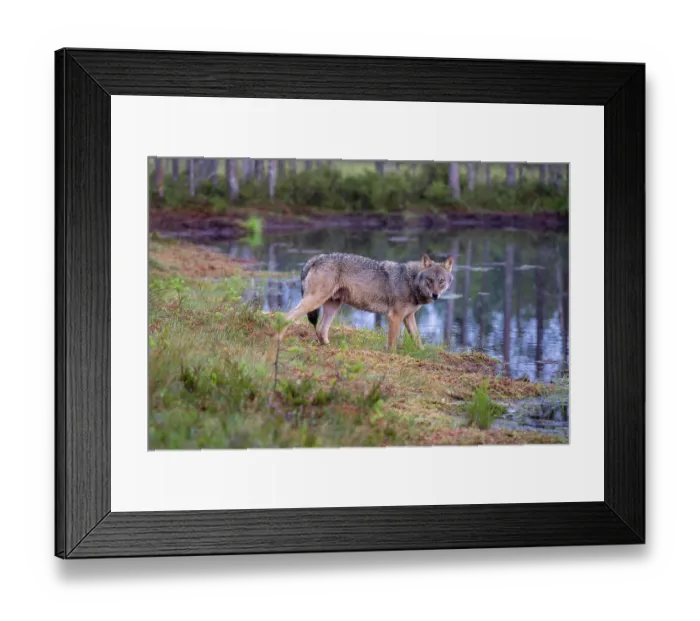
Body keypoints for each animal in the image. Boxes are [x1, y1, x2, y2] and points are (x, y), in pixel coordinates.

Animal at [284, 252, 454, 351]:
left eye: (441, 281)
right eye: (430, 280)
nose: (435, 295)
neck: (411, 281)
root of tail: (315, 258)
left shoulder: (408, 317)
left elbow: (418, 340)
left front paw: (423, 354)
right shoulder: (395, 317)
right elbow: (392, 342)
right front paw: (392, 356)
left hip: (333, 306)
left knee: (320, 329)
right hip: (313, 301)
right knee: (287, 317)